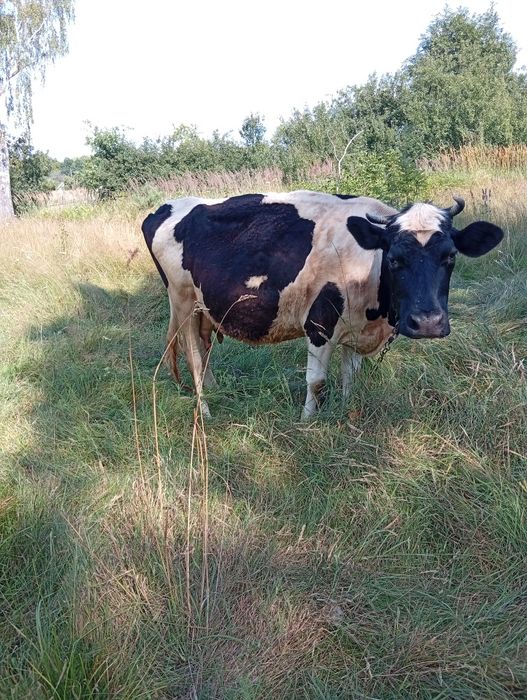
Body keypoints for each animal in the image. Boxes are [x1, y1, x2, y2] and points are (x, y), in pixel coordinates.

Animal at [141, 191, 503, 418]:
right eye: (395, 259)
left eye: (450, 257)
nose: (427, 322)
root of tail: (165, 206)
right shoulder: (319, 323)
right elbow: (316, 382)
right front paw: (306, 421)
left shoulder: (356, 328)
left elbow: (350, 376)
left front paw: (346, 410)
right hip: (182, 301)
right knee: (193, 355)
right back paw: (205, 410)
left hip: (204, 307)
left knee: (204, 350)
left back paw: (216, 391)